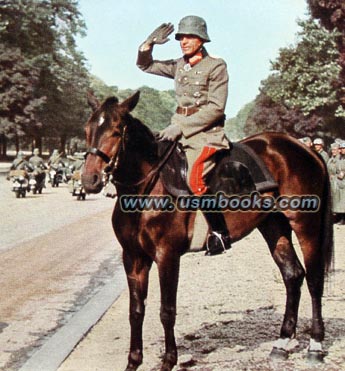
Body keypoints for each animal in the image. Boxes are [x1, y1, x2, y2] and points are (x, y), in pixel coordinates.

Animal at [81, 91, 334, 371]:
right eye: (86, 130)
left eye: (116, 131)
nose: (89, 180)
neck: (146, 190)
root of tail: (305, 148)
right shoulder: (133, 258)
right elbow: (136, 311)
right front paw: (134, 362)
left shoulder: (167, 256)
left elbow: (167, 311)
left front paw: (169, 360)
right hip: (273, 225)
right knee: (293, 275)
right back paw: (281, 344)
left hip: (305, 224)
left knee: (314, 279)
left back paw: (315, 346)